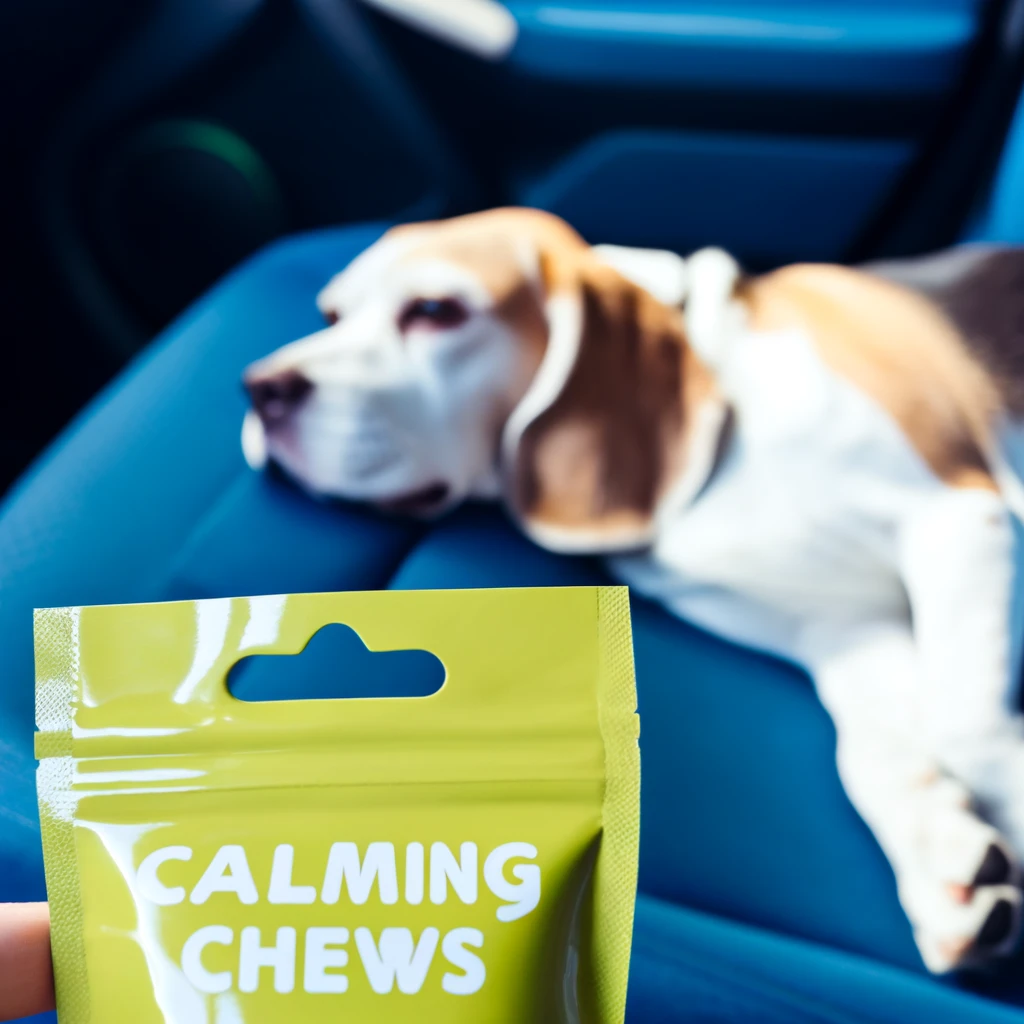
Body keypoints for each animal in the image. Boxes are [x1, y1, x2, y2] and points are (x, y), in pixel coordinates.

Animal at [243, 207, 1024, 974]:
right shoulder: (842, 629)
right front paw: (946, 859)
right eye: (331, 312)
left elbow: (966, 726)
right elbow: (878, 752)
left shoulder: (956, 514)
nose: (258, 387)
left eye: (435, 311)